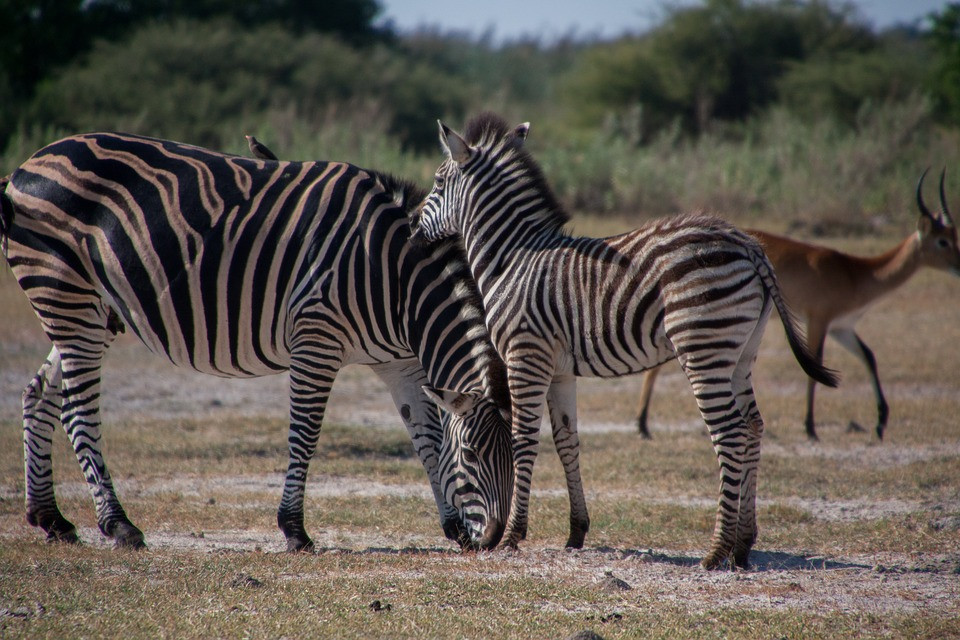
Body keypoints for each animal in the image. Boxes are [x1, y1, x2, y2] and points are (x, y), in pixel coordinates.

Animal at [0, 131, 513, 552]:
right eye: (473, 455)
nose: (491, 539)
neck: (396, 279)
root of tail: (23, 168)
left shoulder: (401, 364)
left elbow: (427, 437)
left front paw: (452, 524)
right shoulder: (315, 337)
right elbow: (306, 433)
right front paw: (294, 529)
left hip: (89, 312)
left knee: (39, 395)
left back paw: (51, 518)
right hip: (63, 292)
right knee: (77, 410)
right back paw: (118, 524)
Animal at [409, 112, 838, 569]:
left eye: (437, 181)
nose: (413, 229)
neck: (511, 260)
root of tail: (745, 243)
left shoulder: (525, 354)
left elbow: (524, 439)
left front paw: (512, 536)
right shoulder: (559, 369)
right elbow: (567, 442)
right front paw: (576, 532)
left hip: (703, 348)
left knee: (730, 433)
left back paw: (716, 549)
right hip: (741, 352)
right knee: (754, 425)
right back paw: (743, 546)